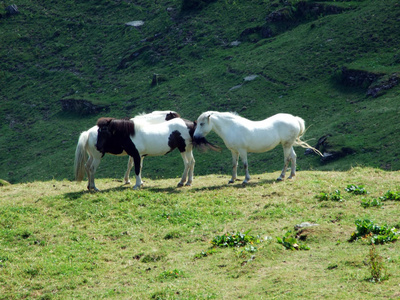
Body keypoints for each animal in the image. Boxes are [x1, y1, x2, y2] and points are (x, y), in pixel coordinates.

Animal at [194, 110, 322, 184]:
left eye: (202, 123)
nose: (194, 137)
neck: (232, 127)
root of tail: (294, 119)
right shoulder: (234, 151)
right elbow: (234, 164)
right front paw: (232, 179)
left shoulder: (242, 151)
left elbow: (245, 165)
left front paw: (246, 179)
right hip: (288, 144)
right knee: (293, 157)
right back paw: (291, 175)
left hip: (286, 145)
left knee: (287, 159)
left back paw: (281, 177)